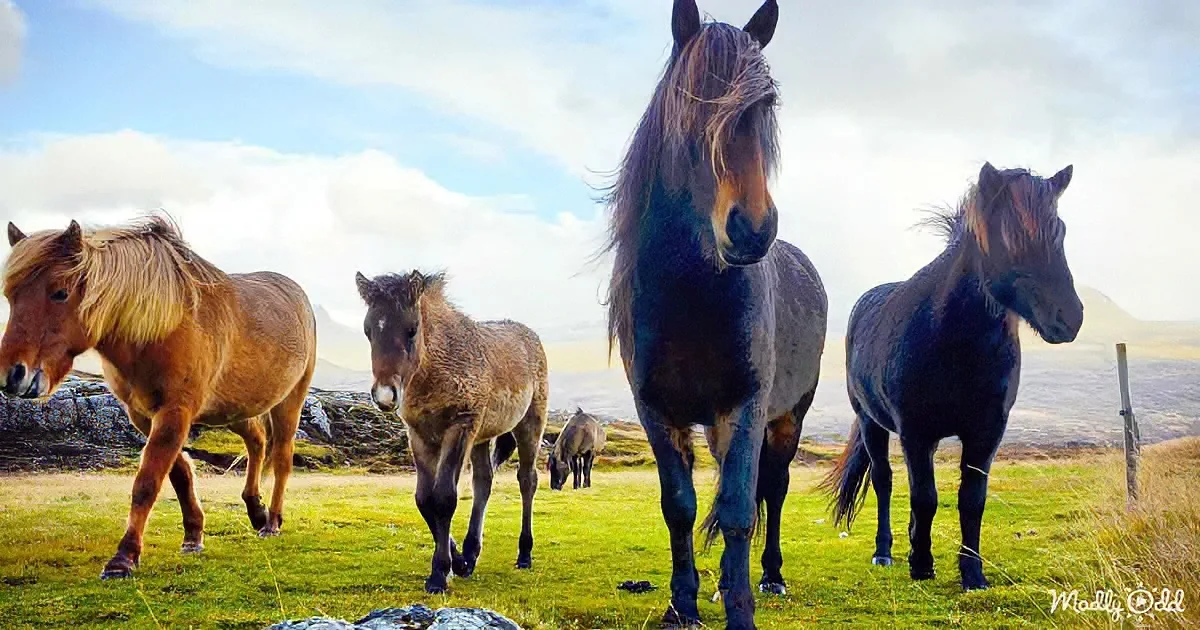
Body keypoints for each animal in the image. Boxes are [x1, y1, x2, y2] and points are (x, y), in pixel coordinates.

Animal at [1, 216, 317, 580]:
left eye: (60, 293)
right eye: (10, 295)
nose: (13, 376)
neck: (160, 327)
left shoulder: (175, 410)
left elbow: (148, 481)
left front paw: (123, 558)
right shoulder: (144, 414)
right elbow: (178, 473)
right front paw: (193, 535)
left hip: (288, 402)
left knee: (281, 458)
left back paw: (272, 521)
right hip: (234, 408)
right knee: (257, 441)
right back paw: (256, 509)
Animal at [355, 269, 548, 594]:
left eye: (411, 330)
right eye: (368, 330)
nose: (385, 396)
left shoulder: (460, 427)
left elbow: (444, 497)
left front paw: (439, 574)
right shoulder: (419, 435)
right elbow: (424, 499)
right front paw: (458, 562)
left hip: (529, 423)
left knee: (527, 480)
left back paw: (524, 554)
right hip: (483, 436)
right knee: (484, 481)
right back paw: (472, 551)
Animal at [601, 1, 828, 627]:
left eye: (765, 106)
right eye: (694, 101)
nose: (752, 228)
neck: (690, 298)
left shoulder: (746, 406)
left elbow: (739, 510)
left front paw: (740, 608)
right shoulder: (657, 411)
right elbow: (680, 506)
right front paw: (683, 603)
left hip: (787, 418)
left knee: (772, 490)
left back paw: (769, 576)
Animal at [820, 162, 1083, 591]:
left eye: (1059, 230)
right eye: (1006, 237)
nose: (1068, 317)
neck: (954, 342)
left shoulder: (986, 432)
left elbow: (971, 499)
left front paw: (972, 574)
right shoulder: (915, 432)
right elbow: (924, 497)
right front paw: (922, 564)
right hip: (871, 422)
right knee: (884, 481)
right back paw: (884, 552)